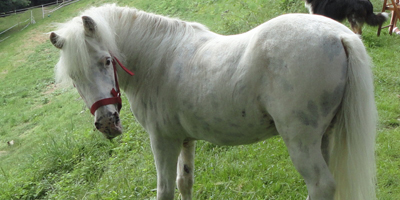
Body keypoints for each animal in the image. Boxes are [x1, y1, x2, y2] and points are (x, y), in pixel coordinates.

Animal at [48, 3, 376, 199]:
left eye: (106, 61)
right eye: (74, 77)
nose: (107, 123)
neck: (157, 59)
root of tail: (339, 35)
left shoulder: (162, 141)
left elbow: (165, 189)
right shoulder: (184, 139)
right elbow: (184, 182)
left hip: (300, 141)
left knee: (321, 185)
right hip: (324, 136)